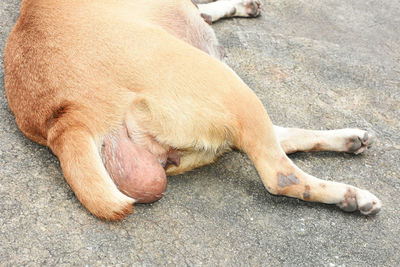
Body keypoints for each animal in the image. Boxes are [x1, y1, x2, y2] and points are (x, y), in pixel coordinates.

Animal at [3, 0, 382, 222]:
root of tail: (67, 119)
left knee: (277, 139)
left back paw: (350, 140)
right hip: (227, 86)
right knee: (278, 173)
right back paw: (353, 196)